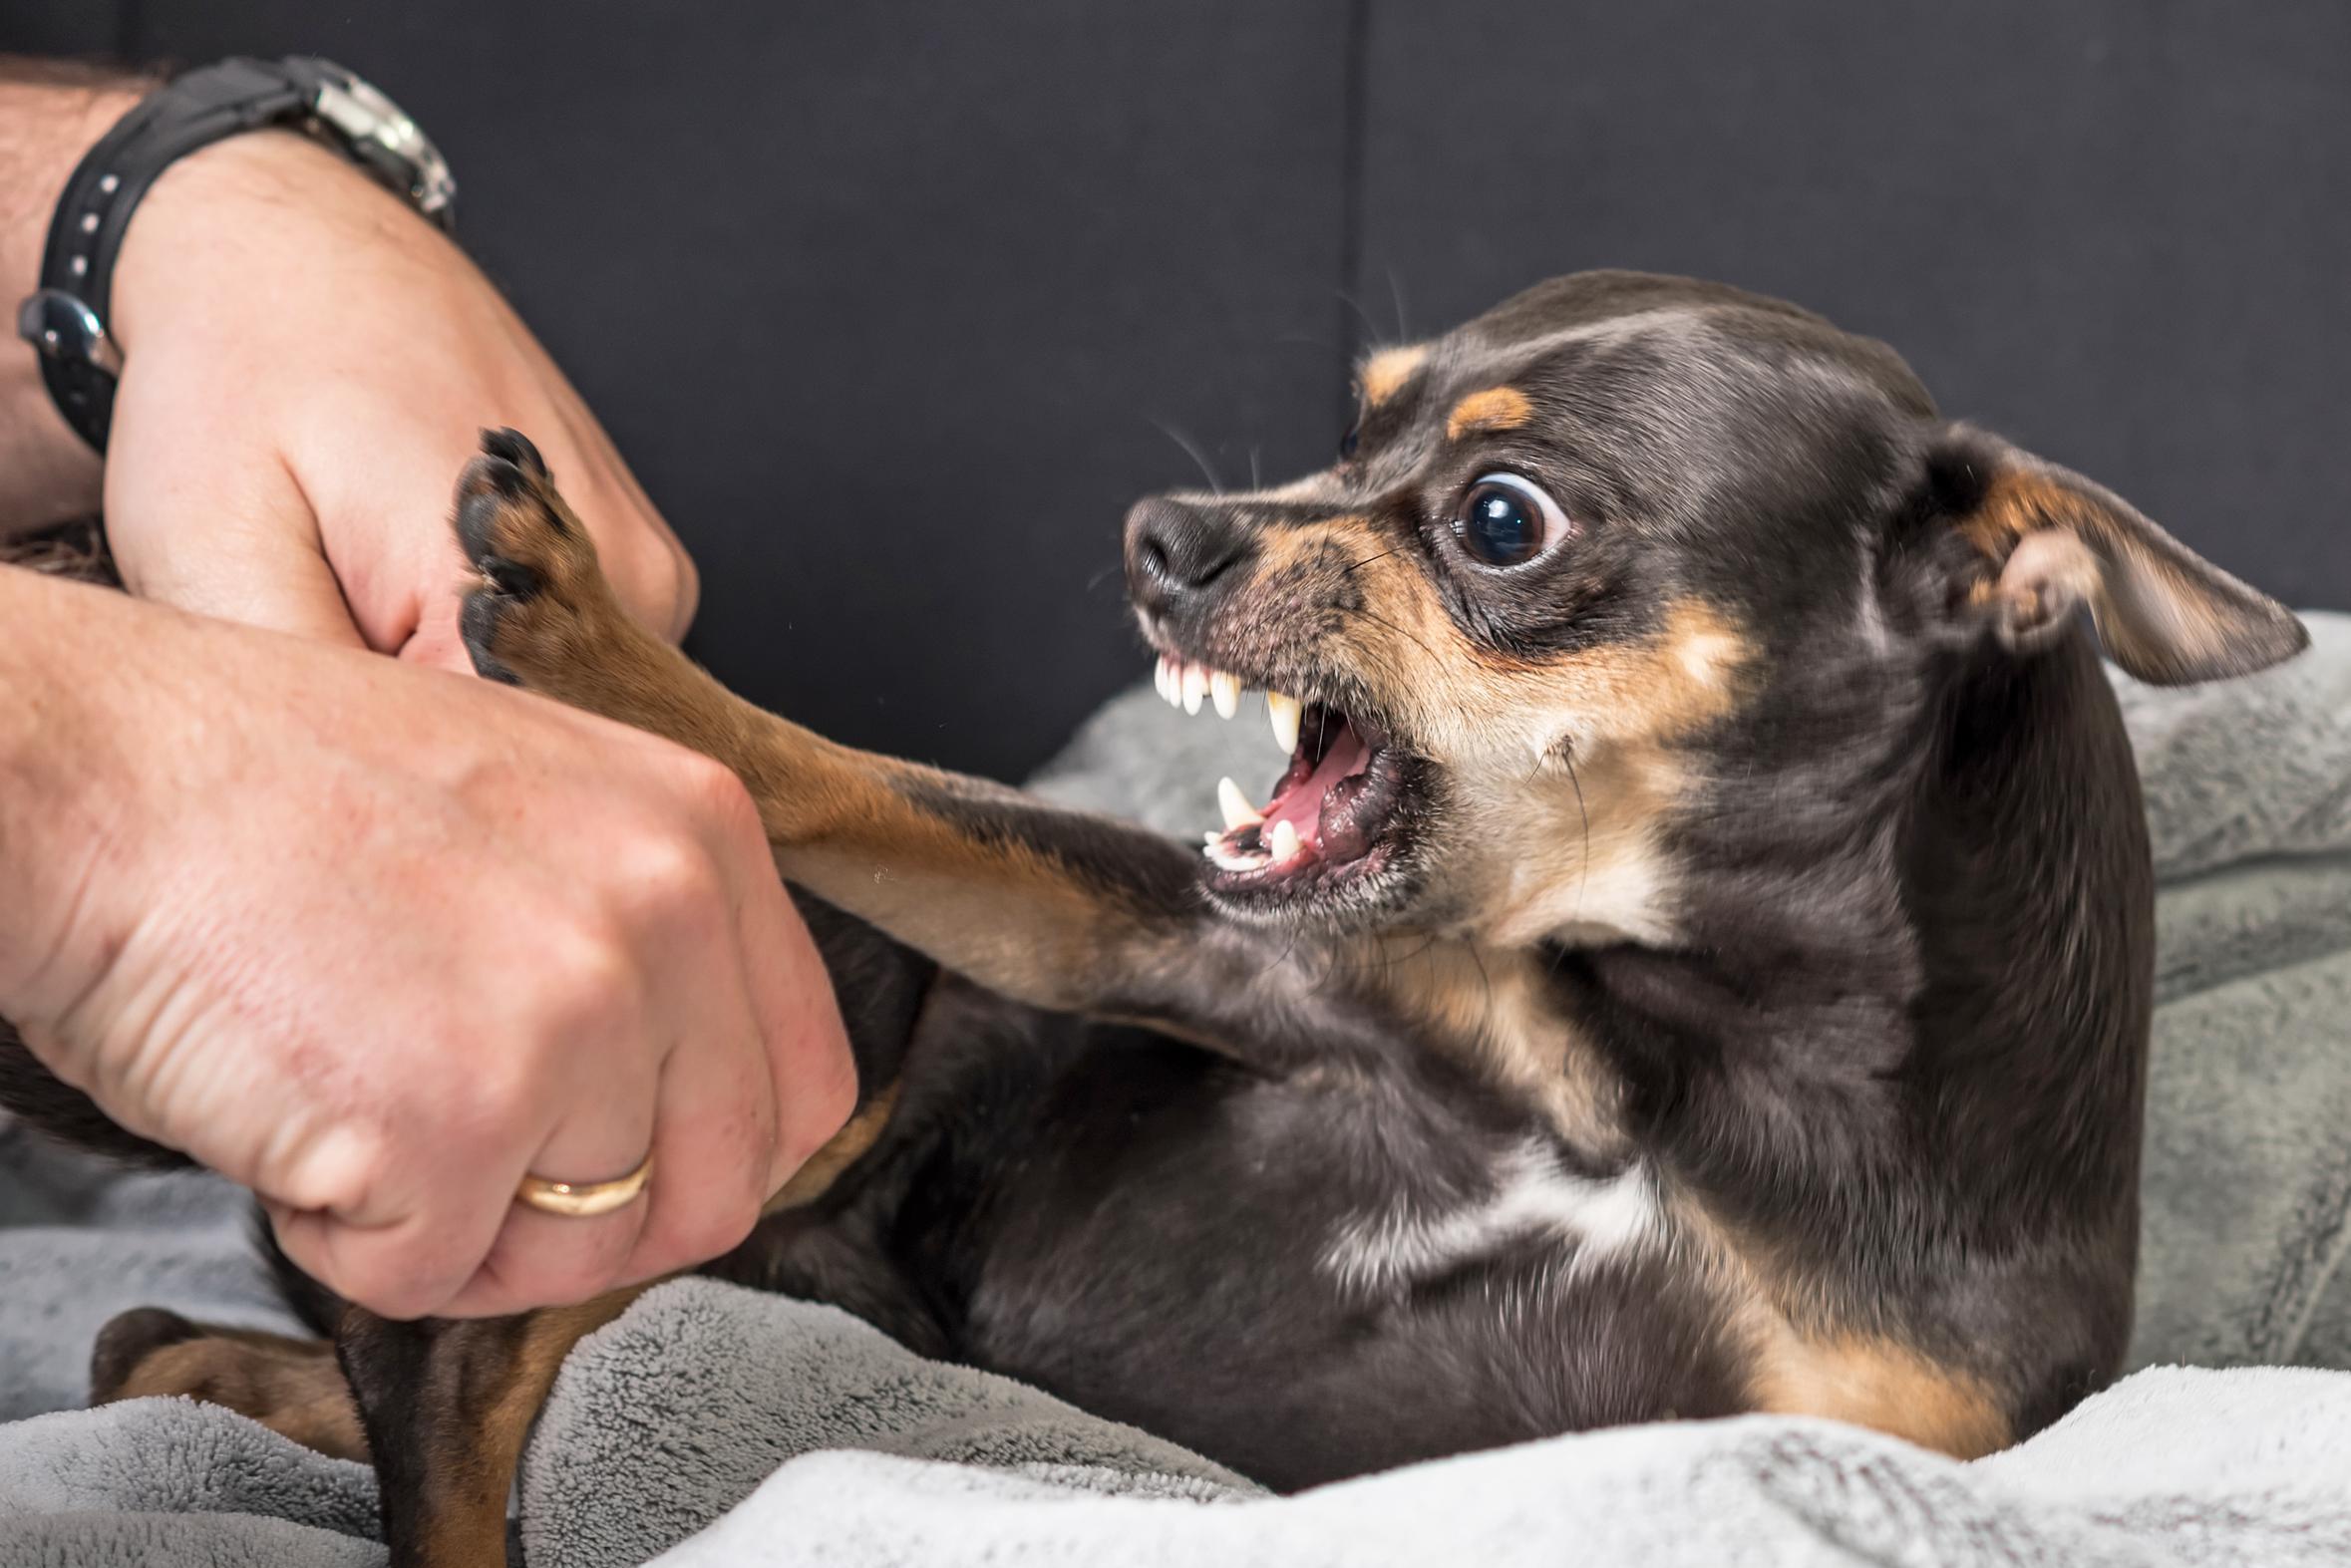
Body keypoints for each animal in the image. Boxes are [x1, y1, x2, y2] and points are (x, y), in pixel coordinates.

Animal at [0, 272, 2313, 1568]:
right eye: (1351, 421)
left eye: (1500, 517)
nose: (1164, 531)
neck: (1664, 1062)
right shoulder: (1177, 949)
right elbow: (856, 777)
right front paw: (595, 644)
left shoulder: (1834, 1435)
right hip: (831, 1056)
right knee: (454, 1393)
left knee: (387, 1379)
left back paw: (206, 1361)